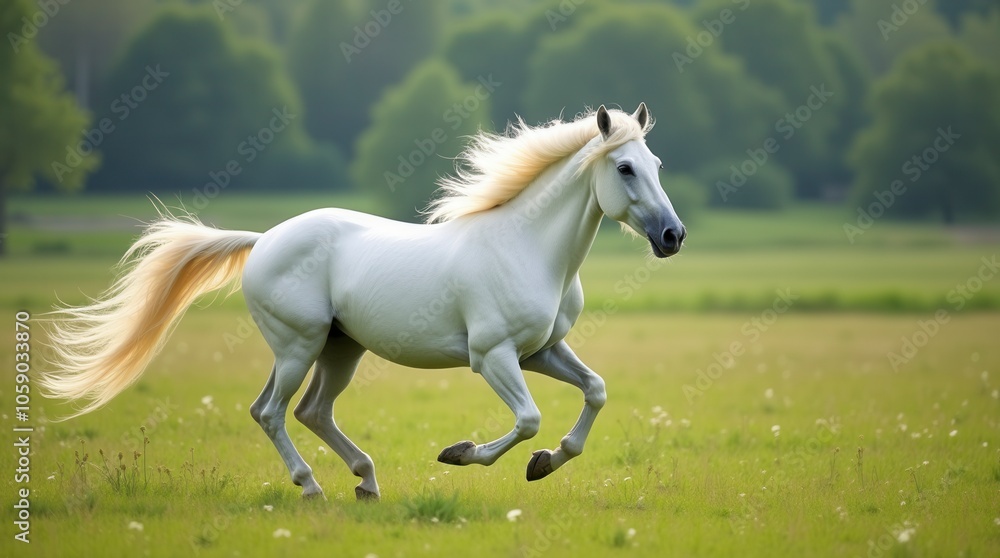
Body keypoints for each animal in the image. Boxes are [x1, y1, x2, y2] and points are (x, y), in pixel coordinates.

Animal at [41, 104, 686, 501]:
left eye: (655, 163)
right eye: (624, 168)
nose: (672, 237)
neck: (528, 248)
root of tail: (263, 240)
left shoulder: (542, 351)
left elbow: (595, 391)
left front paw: (546, 463)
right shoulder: (493, 357)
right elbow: (527, 420)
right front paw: (460, 454)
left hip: (339, 349)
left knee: (309, 412)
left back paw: (366, 482)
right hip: (298, 346)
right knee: (272, 412)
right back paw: (313, 487)